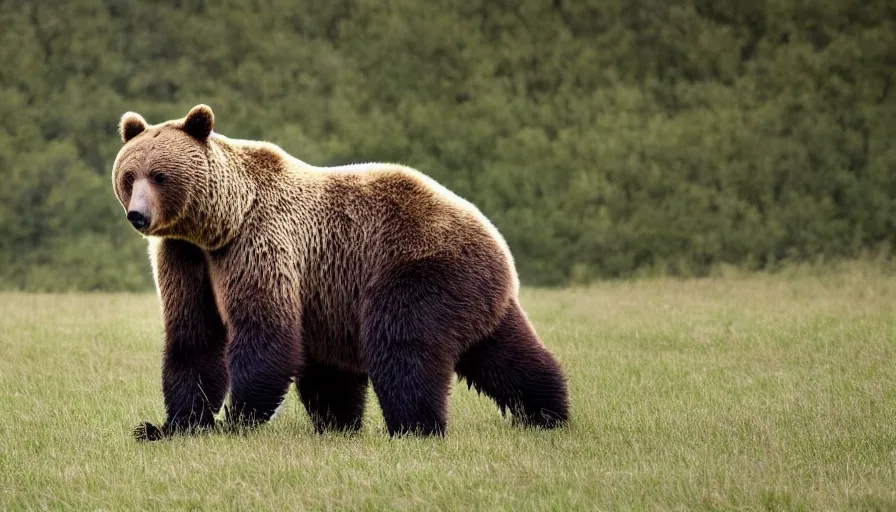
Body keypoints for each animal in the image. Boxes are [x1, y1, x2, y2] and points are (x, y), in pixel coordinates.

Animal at [112, 105, 572, 440]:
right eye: (129, 175)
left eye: (160, 175)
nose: (138, 215)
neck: (221, 223)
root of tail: (496, 237)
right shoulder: (186, 257)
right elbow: (194, 337)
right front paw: (168, 426)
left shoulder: (261, 244)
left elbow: (265, 331)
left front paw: (235, 420)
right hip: (469, 296)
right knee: (504, 355)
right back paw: (548, 410)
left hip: (422, 269)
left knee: (401, 343)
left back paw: (414, 427)